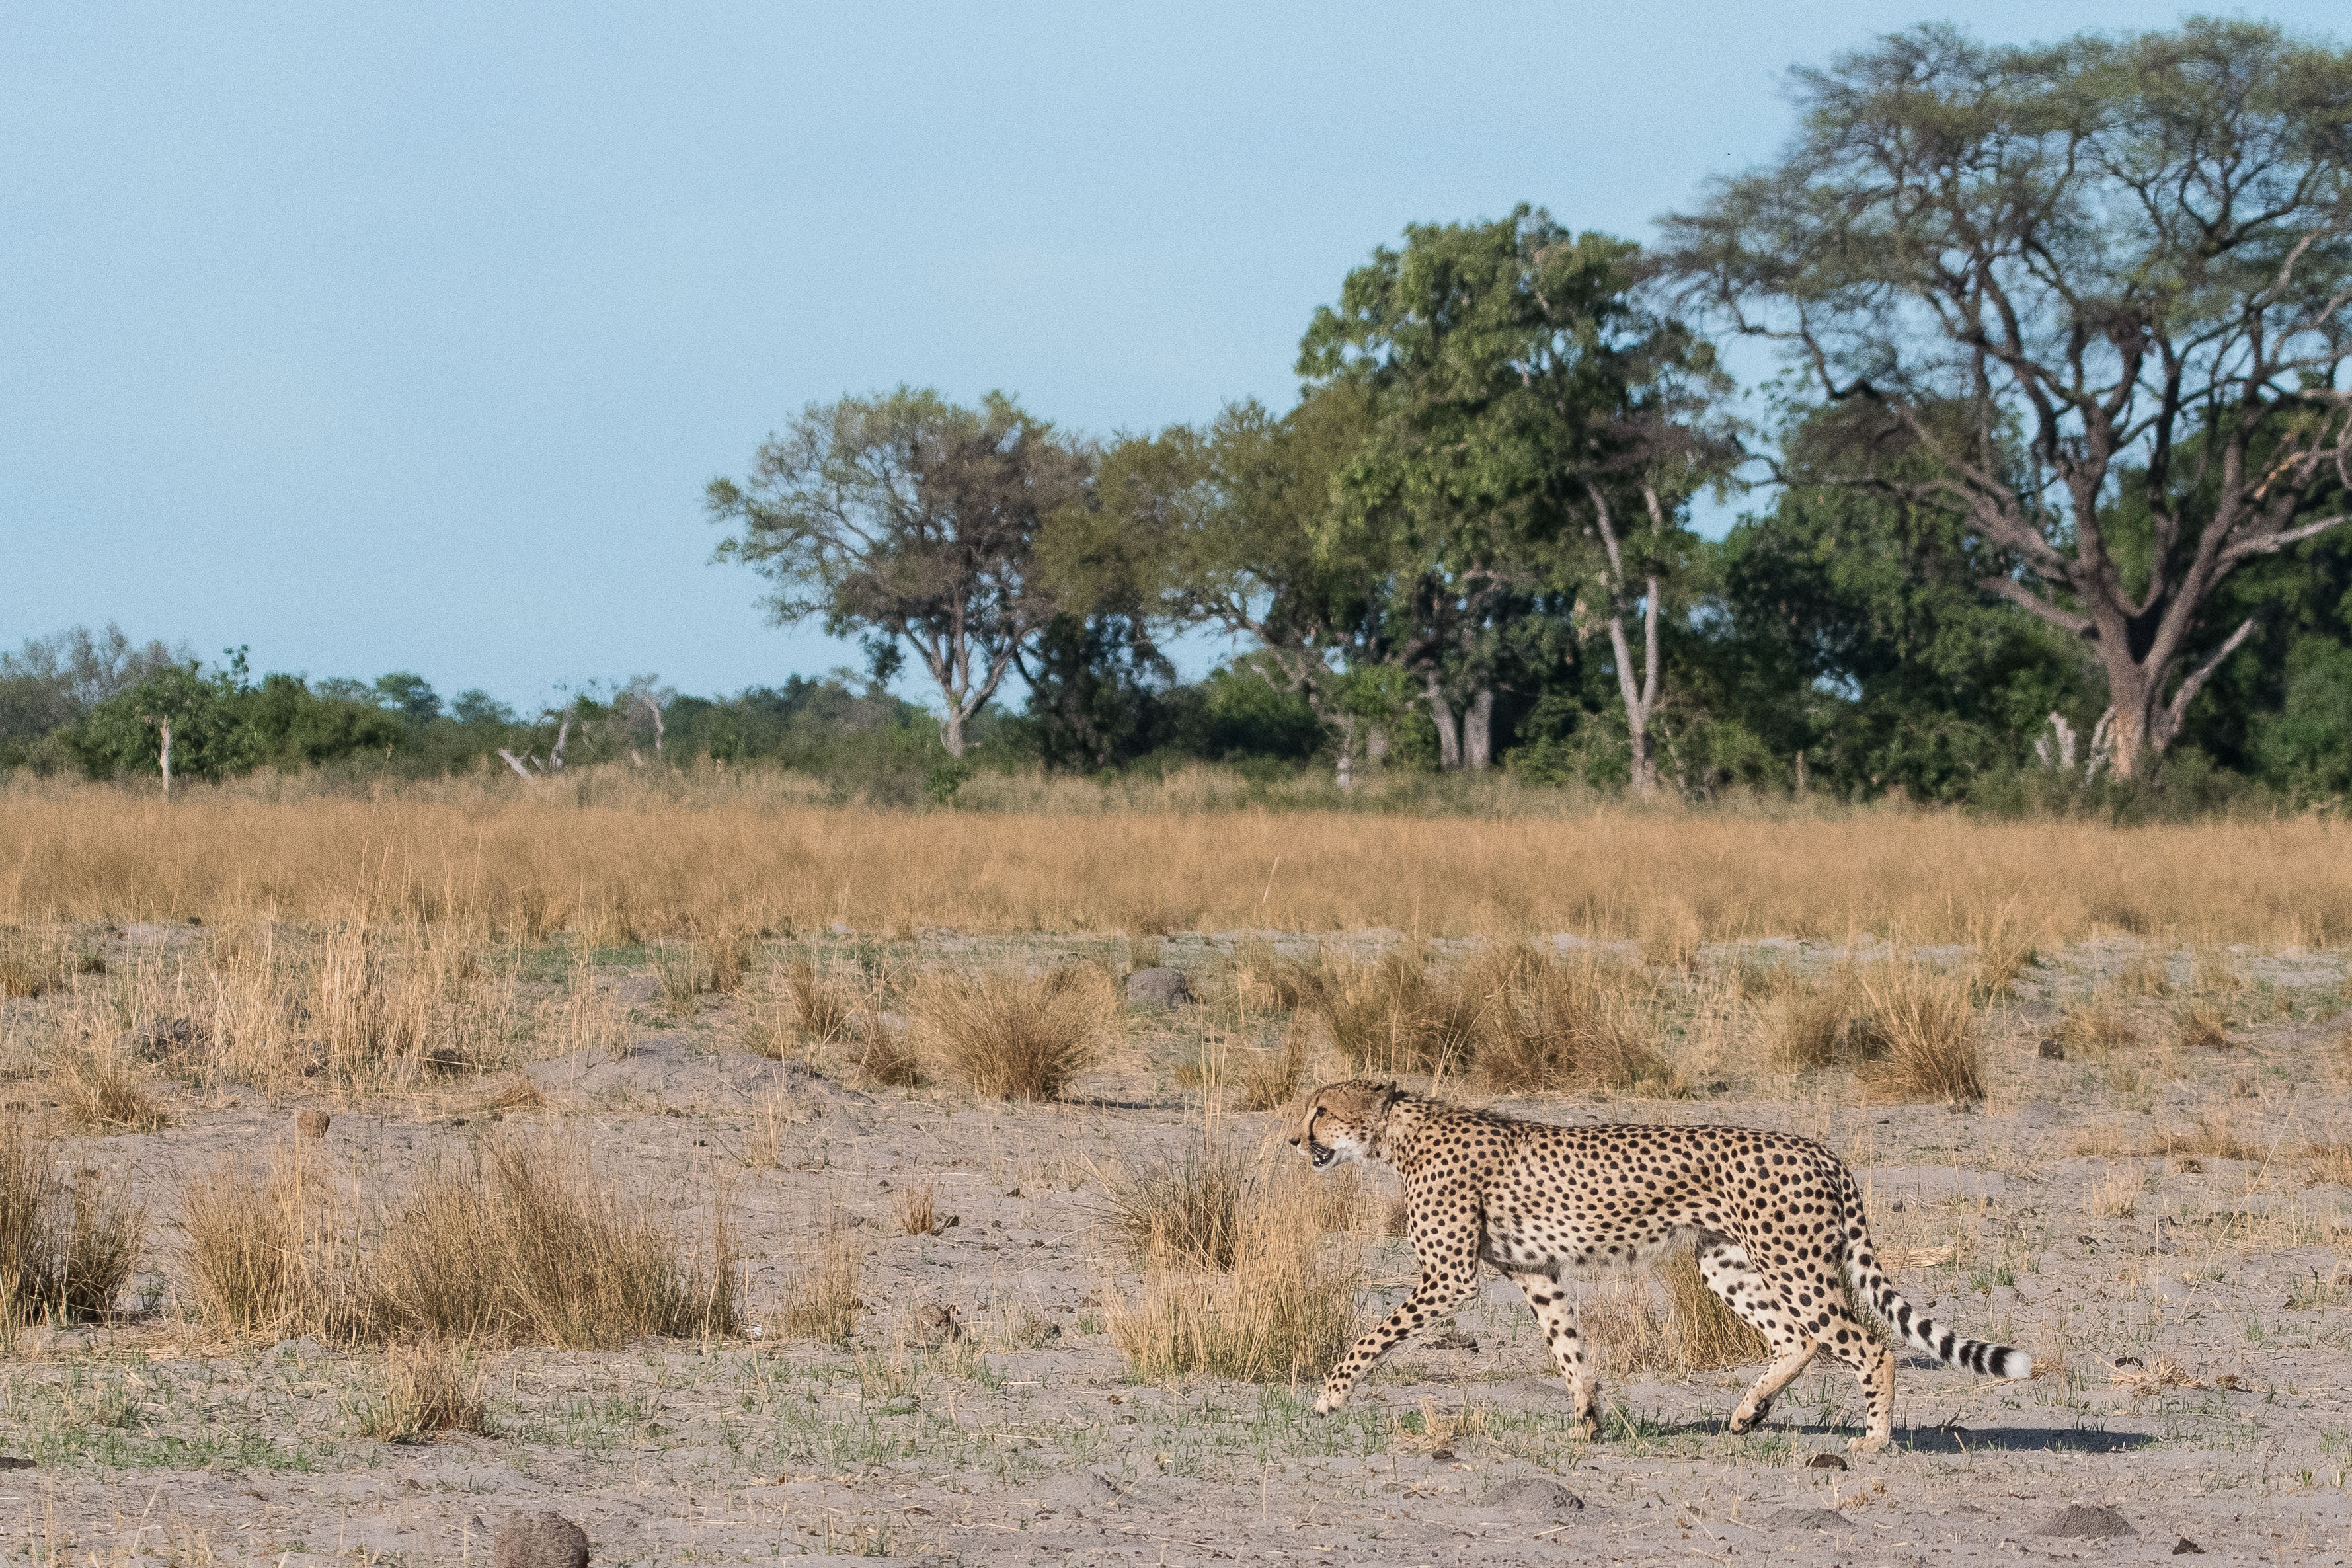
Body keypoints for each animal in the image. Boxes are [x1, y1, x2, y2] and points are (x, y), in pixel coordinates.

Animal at [1288, 1085, 2022, 1457]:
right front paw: (1588, 1420)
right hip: (1724, 1261)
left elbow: (1371, 1335)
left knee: (1869, 1343)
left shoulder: (1449, 1277)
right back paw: (1747, 1414)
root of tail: (1822, 1149)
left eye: (1322, 1109)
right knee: (1797, 1337)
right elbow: (1570, 1351)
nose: (1295, 1139)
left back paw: (1874, 1437)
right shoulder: (1536, 1271)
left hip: (1794, 1263)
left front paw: (1328, 1396)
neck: (1402, 1137)